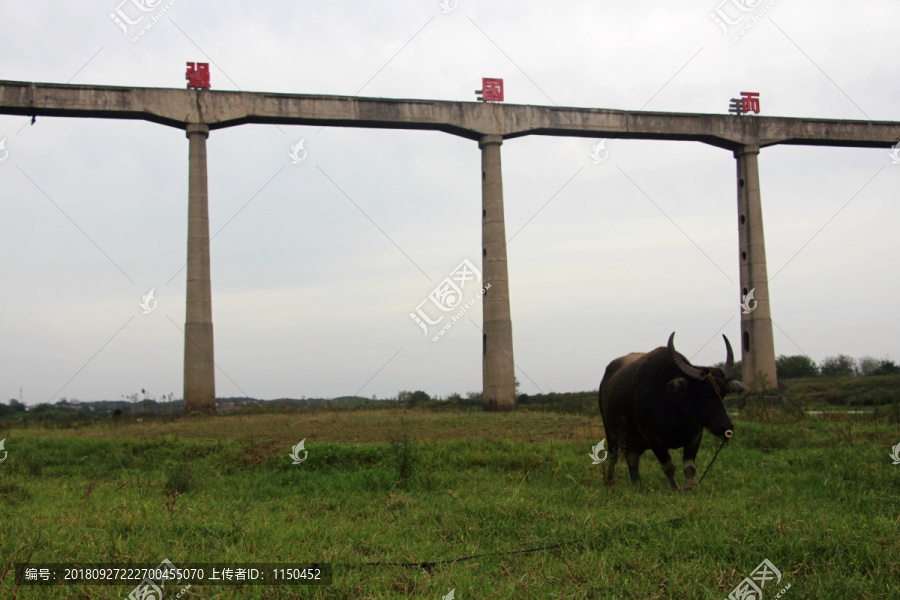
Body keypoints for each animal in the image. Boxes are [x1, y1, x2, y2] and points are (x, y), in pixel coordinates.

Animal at [600, 330, 740, 490]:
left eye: (723, 393)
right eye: (704, 392)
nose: (726, 428)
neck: (675, 409)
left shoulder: (696, 435)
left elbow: (689, 467)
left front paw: (689, 488)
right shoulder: (653, 438)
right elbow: (668, 466)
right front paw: (675, 489)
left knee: (632, 458)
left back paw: (638, 486)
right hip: (610, 431)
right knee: (613, 455)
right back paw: (609, 481)